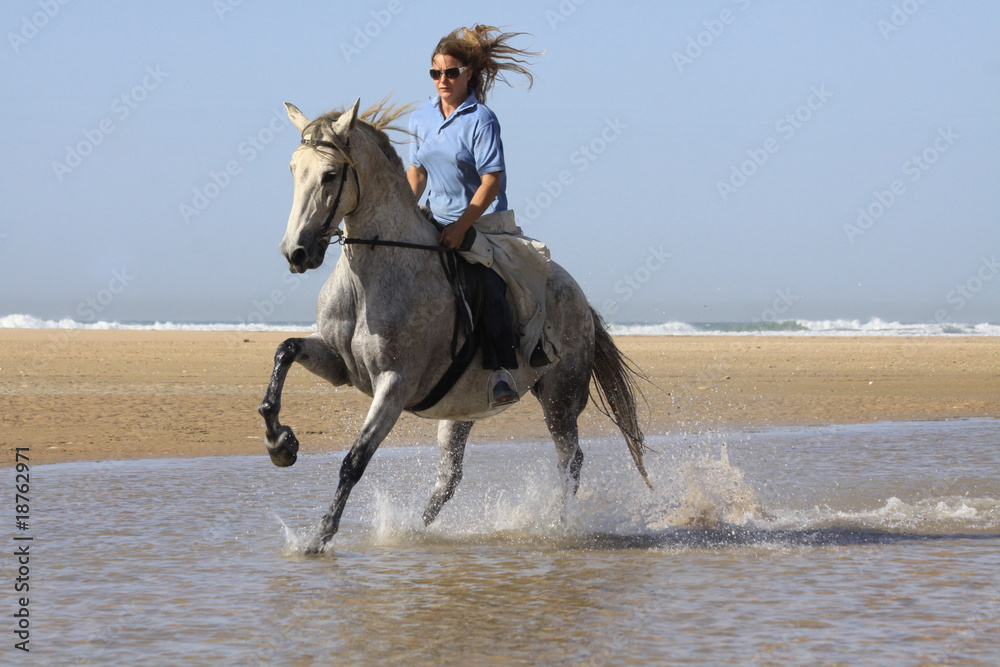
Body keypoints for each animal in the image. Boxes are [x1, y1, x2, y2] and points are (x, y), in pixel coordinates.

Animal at [258, 98, 648, 548]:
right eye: (293, 169)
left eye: (330, 174)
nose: (296, 253)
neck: (373, 274)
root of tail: (579, 295)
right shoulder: (339, 365)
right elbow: (284, 350)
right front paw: (280, 444)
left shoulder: (394, 384)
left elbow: (354, 461)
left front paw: (320, 536)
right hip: (462, 408)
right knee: (450, 477)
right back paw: (416, 529)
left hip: (559, 398)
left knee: (571, 460)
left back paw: (559, 526)